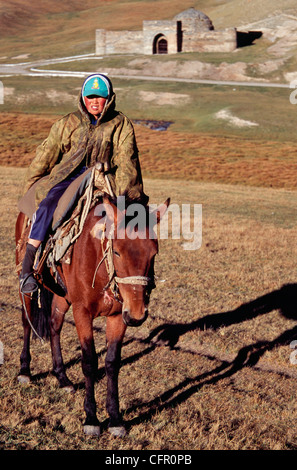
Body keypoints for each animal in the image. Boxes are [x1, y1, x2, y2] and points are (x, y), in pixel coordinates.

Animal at [15, 193, 169, 436]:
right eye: (117, 251)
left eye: (153, 253)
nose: (137, 314)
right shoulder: (82, 313)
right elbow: (89, 362)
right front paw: (91, 419)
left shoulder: (118, 317)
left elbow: (112, 363)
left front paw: (115, 419)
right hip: (27, 287)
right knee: (26, 322)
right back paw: (24, 370)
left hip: (62, 296)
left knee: (54, 325)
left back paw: (62, 377)